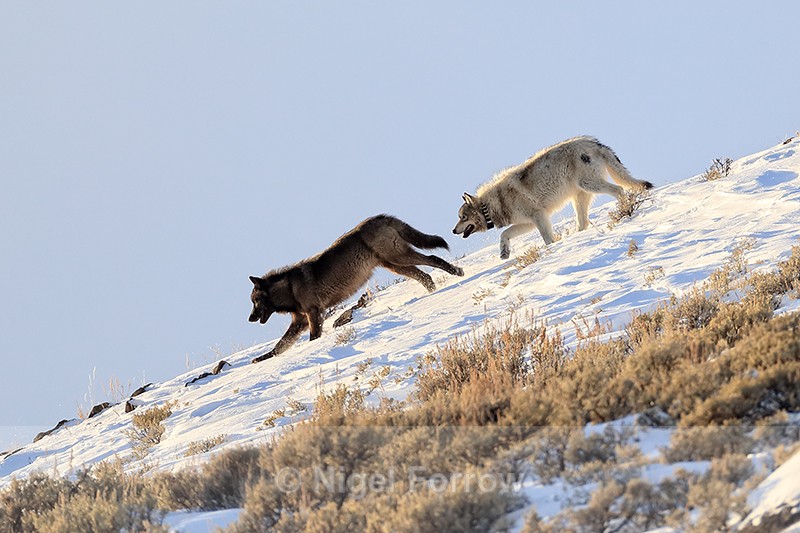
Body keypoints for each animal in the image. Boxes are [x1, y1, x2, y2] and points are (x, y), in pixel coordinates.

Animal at [249, 214, 464, 363]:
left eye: (255, 302)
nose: (250, 318)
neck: (289, 289)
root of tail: (379, 216)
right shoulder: (299, 321)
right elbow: (279, 347)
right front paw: (260, 359)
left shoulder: (314, 314)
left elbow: (312, 339)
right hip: (395, 265)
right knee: (425, 276)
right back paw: (434, 291)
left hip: (399, 258)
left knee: (433, 260)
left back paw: (456, 272)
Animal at [453, 136, 653, 259]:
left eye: (463, 217)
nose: (453, 231)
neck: (493, 204)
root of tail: (594, 142)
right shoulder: (528, 222)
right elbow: (504, 234)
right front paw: (504, 253)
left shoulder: (539, 217)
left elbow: (547, 239)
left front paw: (551, 250)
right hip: (579, 198)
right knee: (583, 224)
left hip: (589, 185)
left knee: (618, 190)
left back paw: (625, 211)